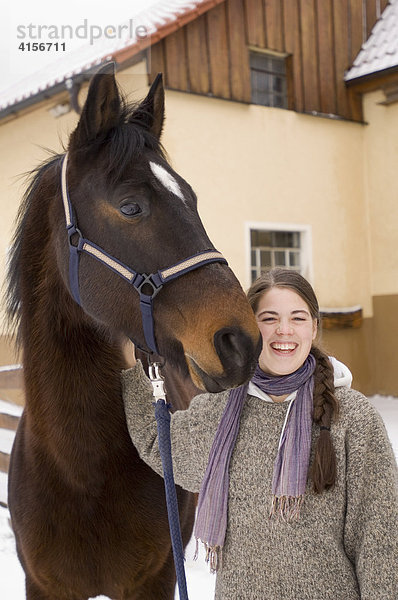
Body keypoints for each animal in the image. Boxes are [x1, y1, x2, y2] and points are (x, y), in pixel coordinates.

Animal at [6, 65, 262, 600]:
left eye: (193, 200)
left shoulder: (154, 580)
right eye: (130, 207)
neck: (81, 471)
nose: (241, 341)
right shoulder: (43, 586)